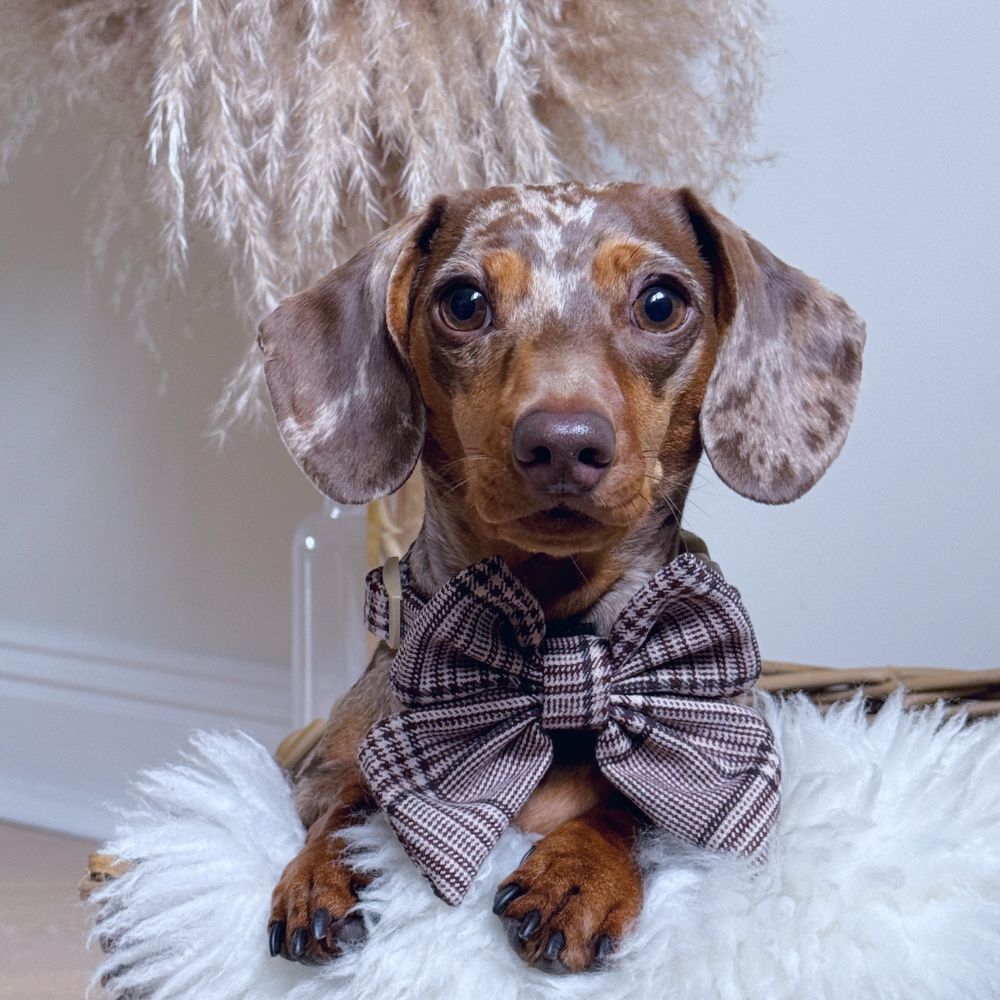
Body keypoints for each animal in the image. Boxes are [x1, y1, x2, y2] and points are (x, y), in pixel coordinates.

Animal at [254, 180, 864, 968]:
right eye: (463, 301)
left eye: (661, 302)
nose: (564, 443)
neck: (549, 648)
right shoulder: (318, 774)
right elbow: (350, 797)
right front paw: (324, 870)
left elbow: (628, 803)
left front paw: (575, 873)